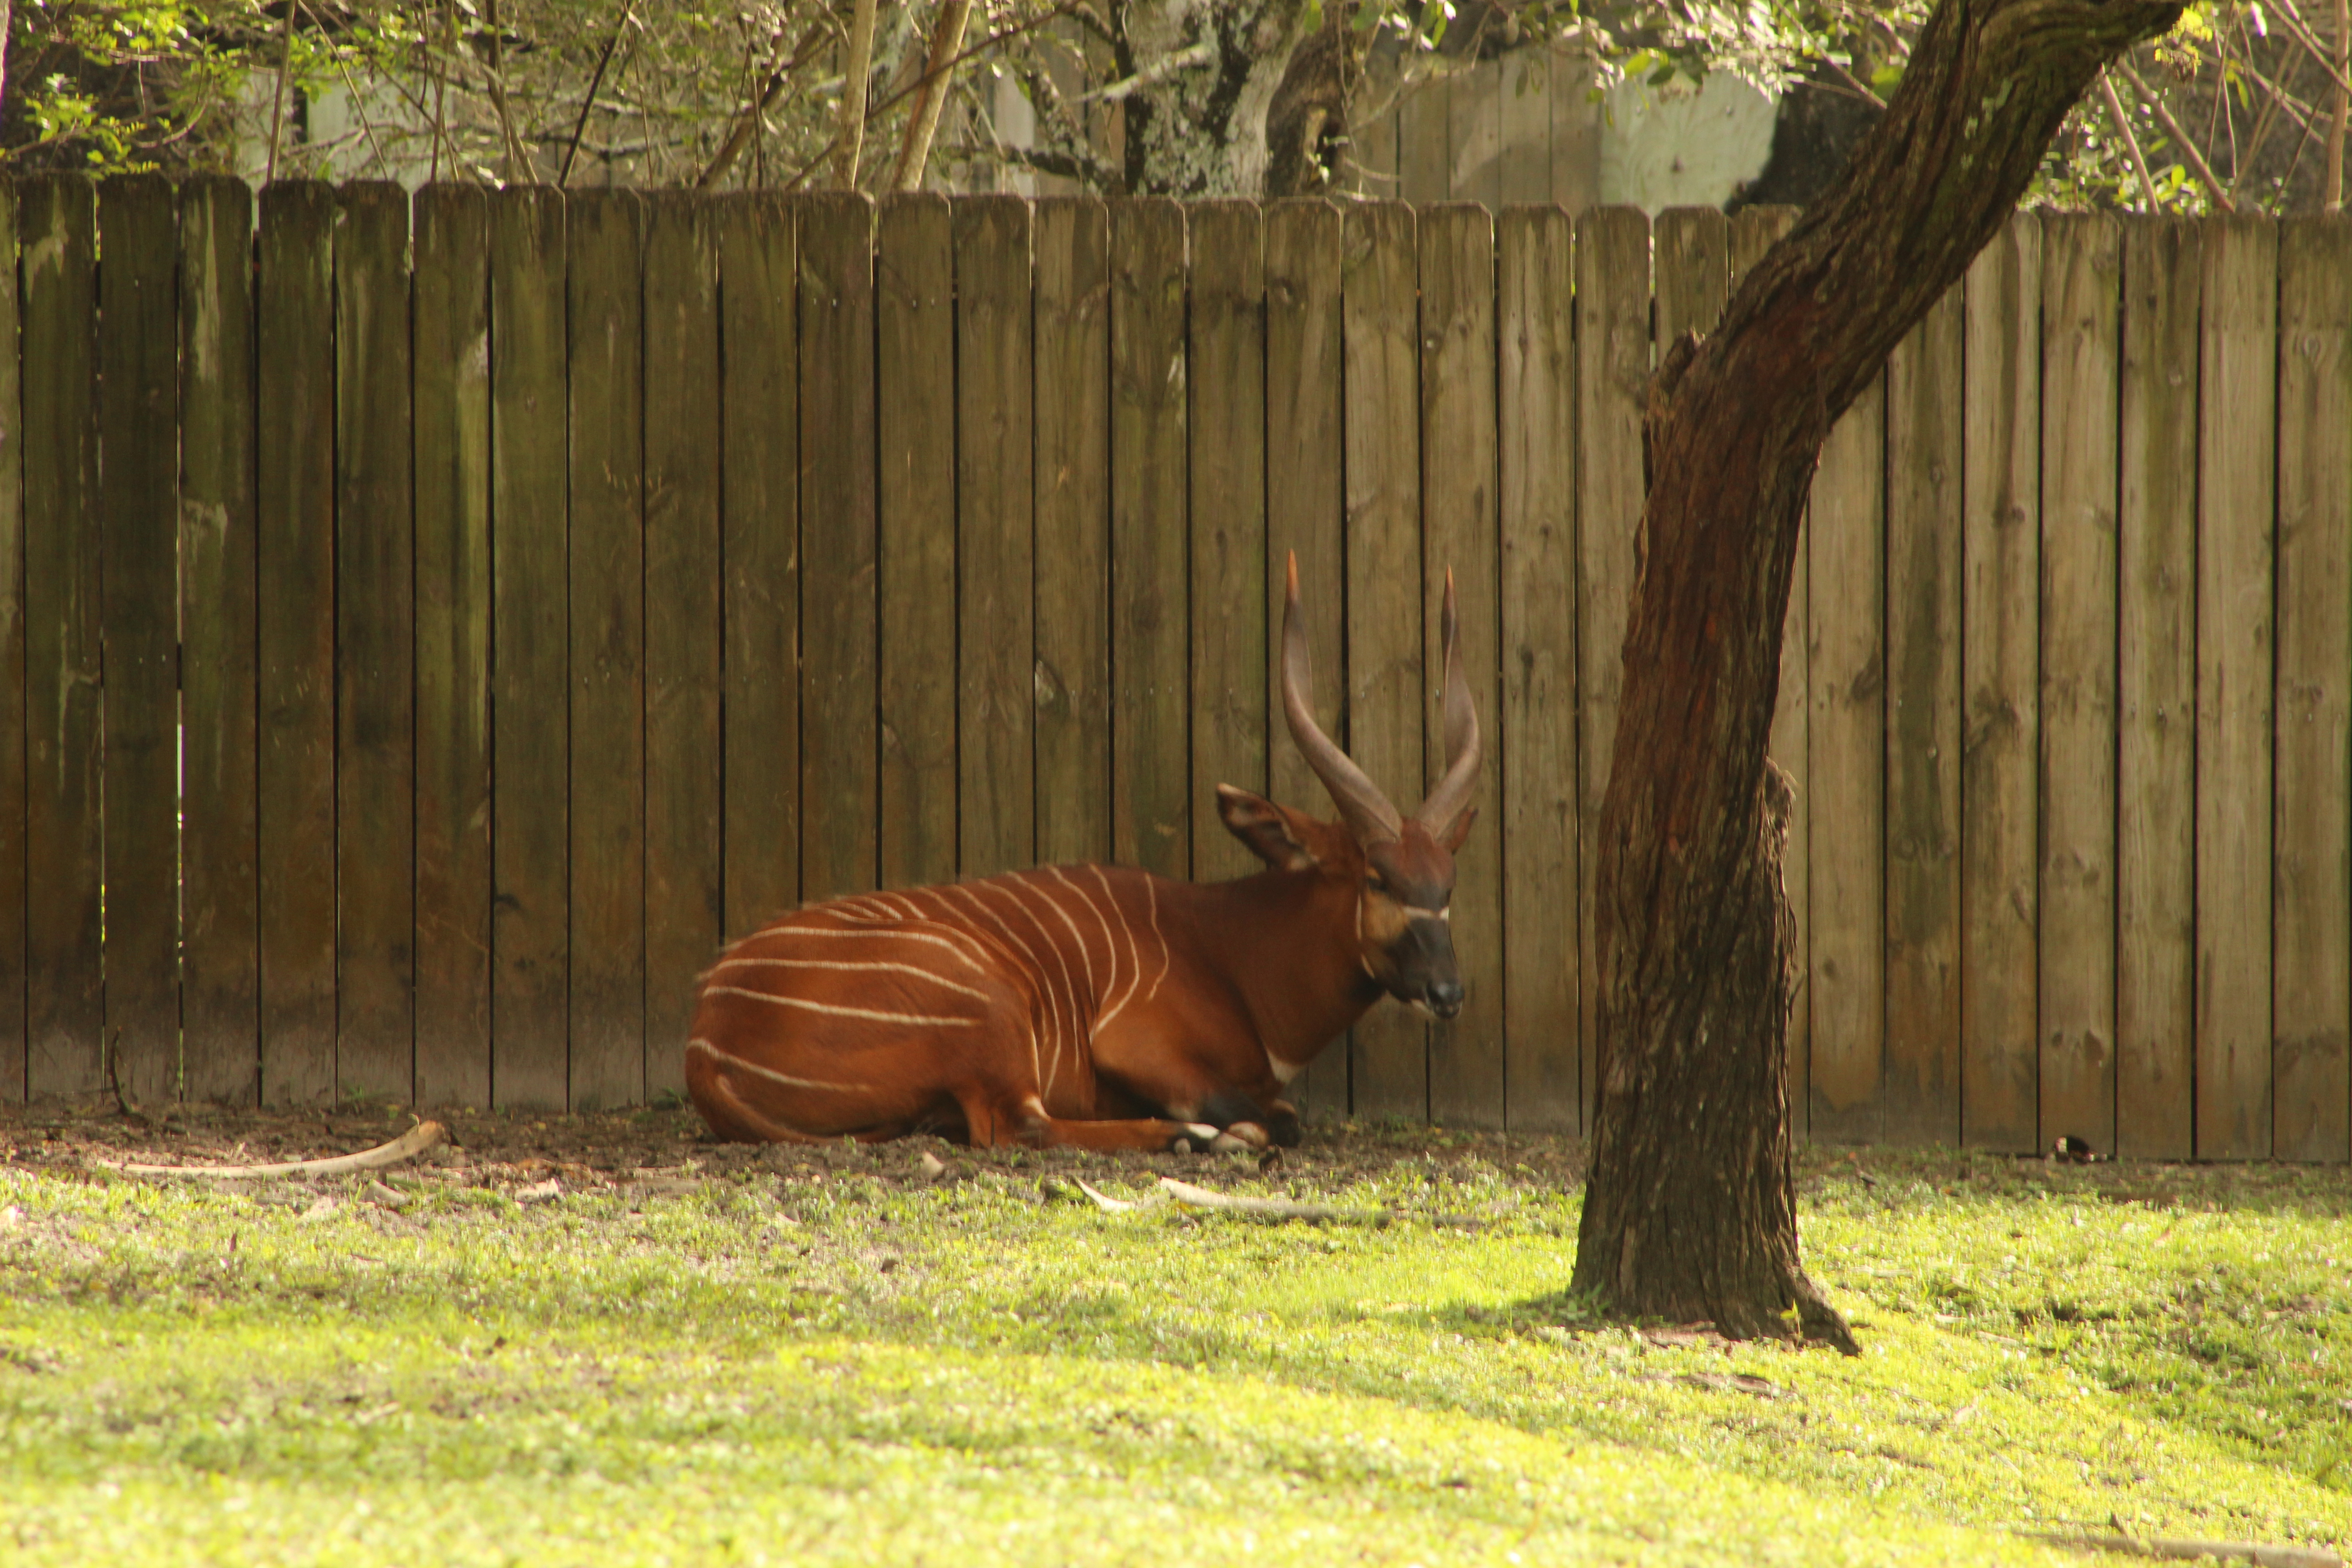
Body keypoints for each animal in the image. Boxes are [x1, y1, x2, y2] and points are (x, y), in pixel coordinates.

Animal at [684, 554, 1481, 1153]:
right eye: (1378, 878)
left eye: (1447, 884)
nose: (1448, 991)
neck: (1228, 949)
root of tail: (706, 1044)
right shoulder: (1134, 1044)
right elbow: (1276, 1117)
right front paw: (1223, 1131)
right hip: (992, 1011)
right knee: (1019, 1126)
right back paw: (1191, 1140)